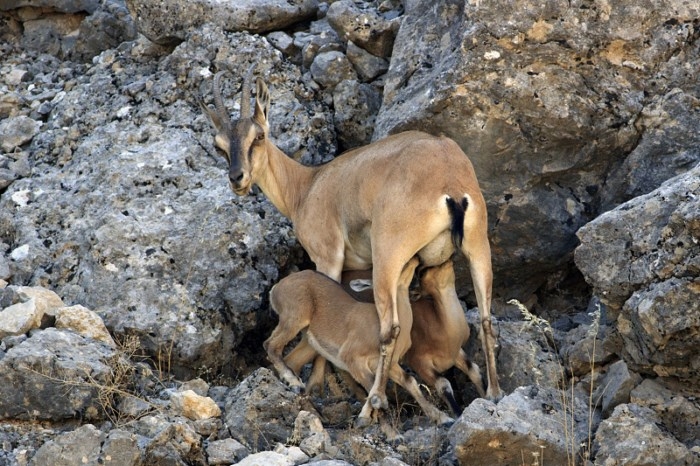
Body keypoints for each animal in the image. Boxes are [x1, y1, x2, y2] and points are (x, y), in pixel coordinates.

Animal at [200, 66, 500, 426]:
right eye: (218, 145)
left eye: (257, 136)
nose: (238, 179)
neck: (307, 186)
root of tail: (450, 185)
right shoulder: (357, 269)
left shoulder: (328, 258)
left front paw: (315, 387)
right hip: (478, 249)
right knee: (486, 319)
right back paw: (493, 394)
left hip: (388, 256)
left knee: (390, 328)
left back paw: (372, 404)